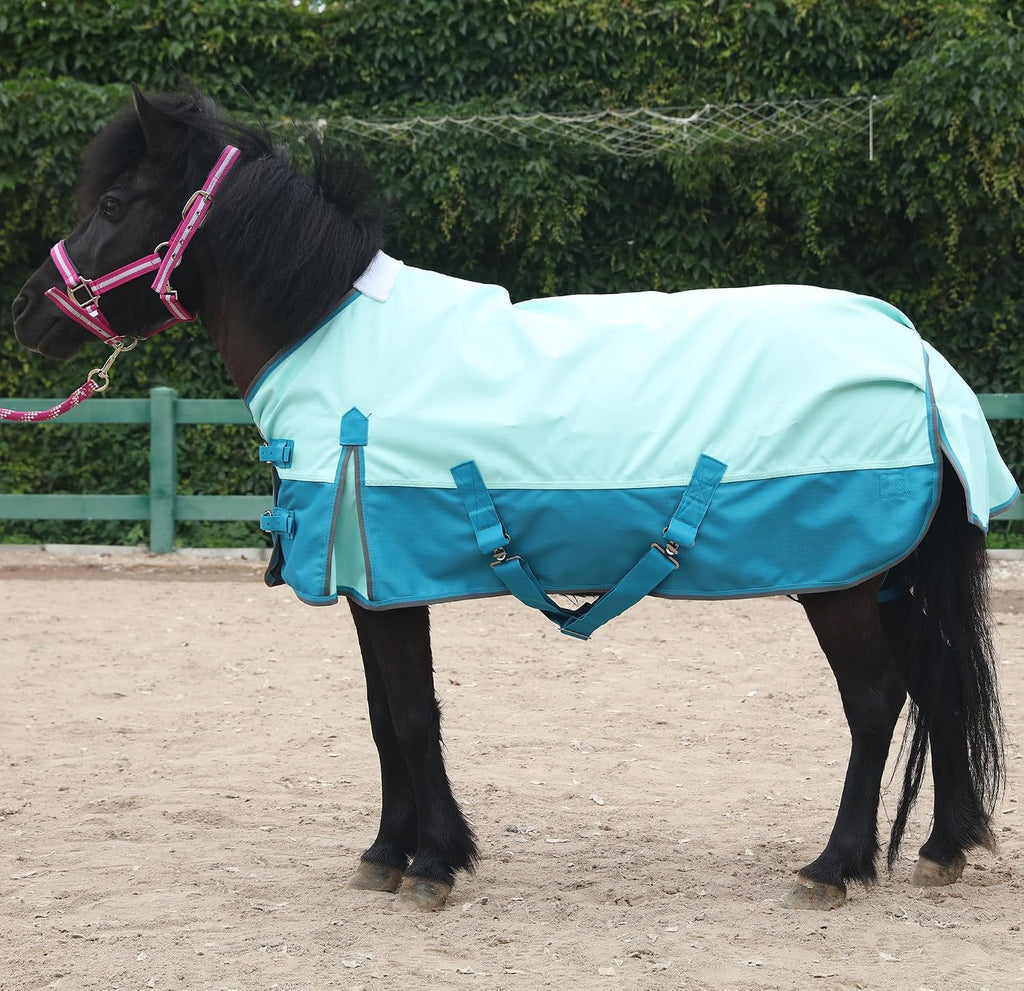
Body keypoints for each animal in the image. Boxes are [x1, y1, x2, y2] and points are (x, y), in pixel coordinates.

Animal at [11, 88, 1015, 913]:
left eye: (112, 205)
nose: (26, 311)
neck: (329, 336)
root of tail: (918, 355)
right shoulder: (375, 585)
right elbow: (385, 716)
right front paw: (391, 853)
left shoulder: (388, 580)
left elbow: (412, 713)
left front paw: (430, 866)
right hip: (888, 578)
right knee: (938, 686)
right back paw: (941, 848)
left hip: (840, 584)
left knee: (876, 701)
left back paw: (834, 865)